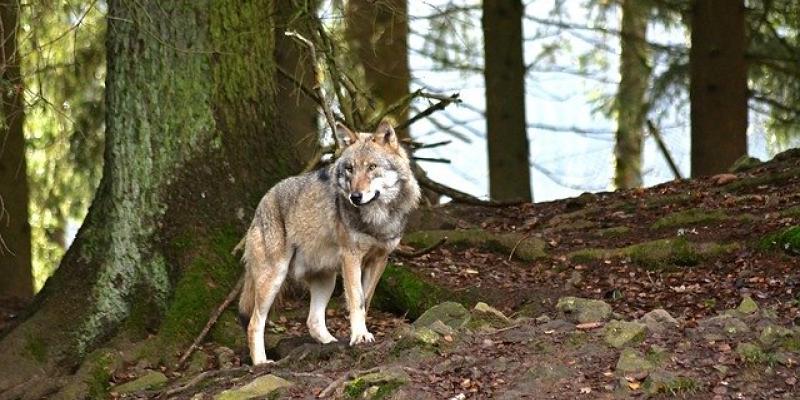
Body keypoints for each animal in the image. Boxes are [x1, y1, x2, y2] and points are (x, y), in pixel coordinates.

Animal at [238, 119, 422, 366]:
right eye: (350, 169)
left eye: (372, 167)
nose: (355, 196)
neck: (377, 219)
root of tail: (262, 202)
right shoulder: (351, 257)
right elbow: (356, 300)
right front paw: (360, 336)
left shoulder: (379, 259)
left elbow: (365, 300)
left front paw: (360, 334)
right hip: (274, 278)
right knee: (254, 323)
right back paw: (261, 362)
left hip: (327, 280)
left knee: (313, 322)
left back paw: (332, 343)